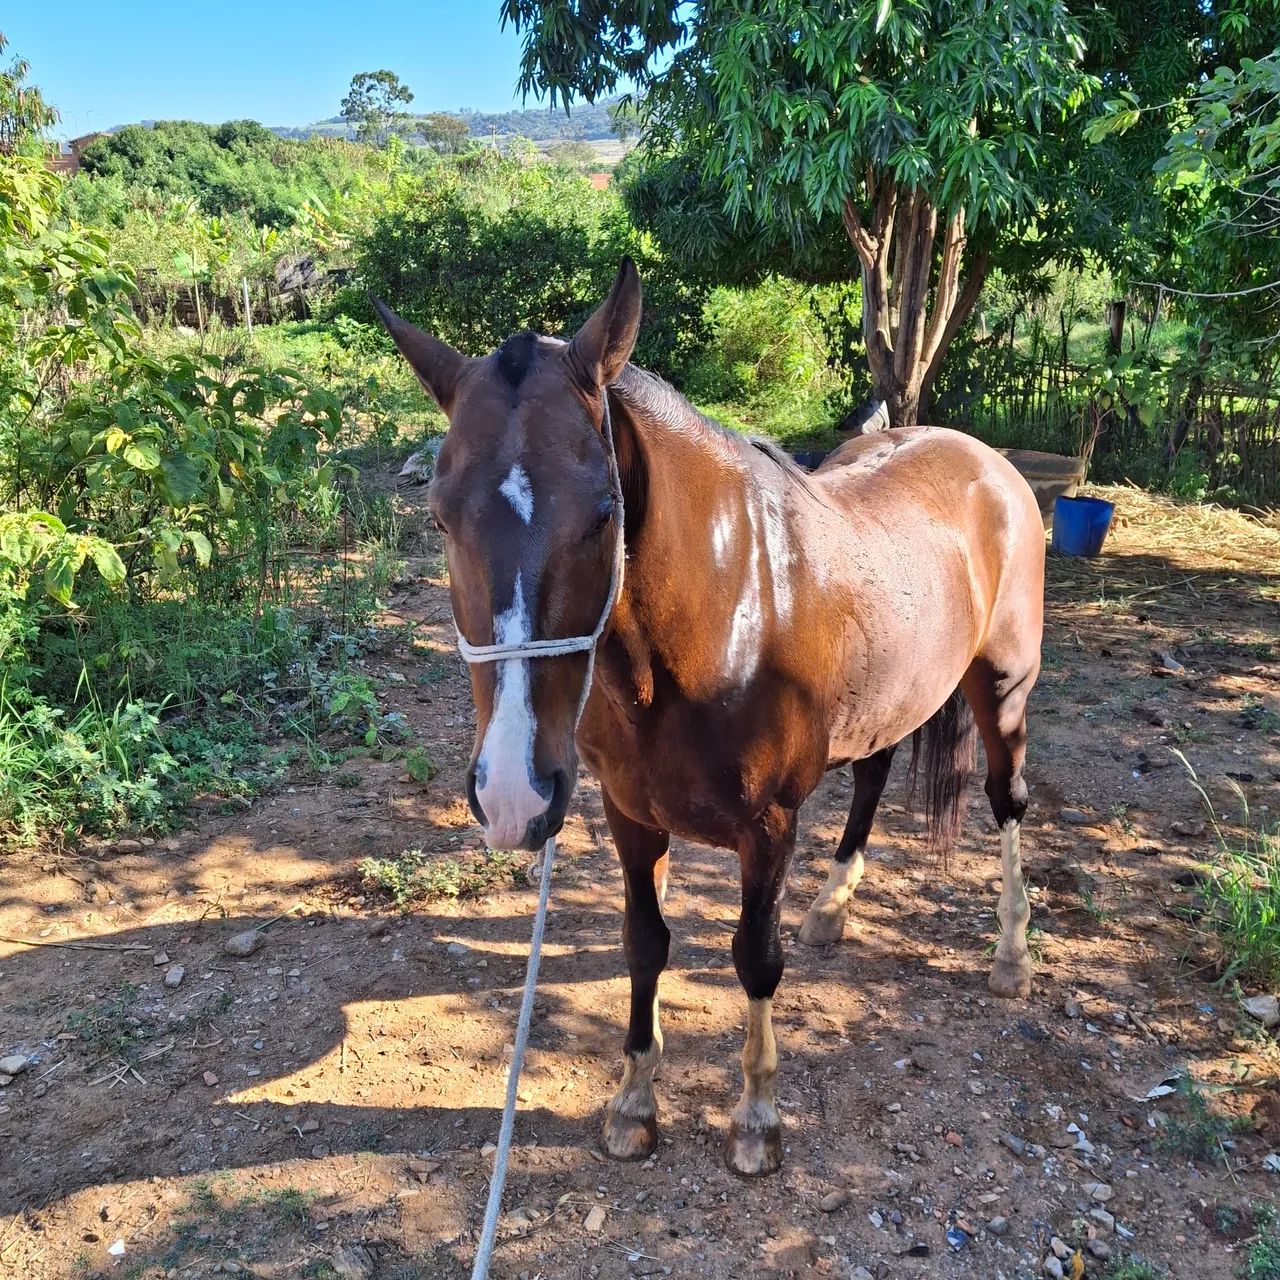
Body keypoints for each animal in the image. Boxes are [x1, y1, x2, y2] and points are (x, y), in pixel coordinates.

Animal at [372, 258, 1045, 1177]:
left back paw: (1010, 955)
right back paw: (832, 910)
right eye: (440, 517)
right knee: (873, 776)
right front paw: (633, 1102)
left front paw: (756, 1118)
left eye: (603, 512)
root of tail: (985, 462)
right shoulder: (629, 813)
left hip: (1002, 686)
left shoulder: (769, 826)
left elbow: (755, 959)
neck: (727, 615)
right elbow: (645, 942)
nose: (513, 794)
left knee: (1008, 803)